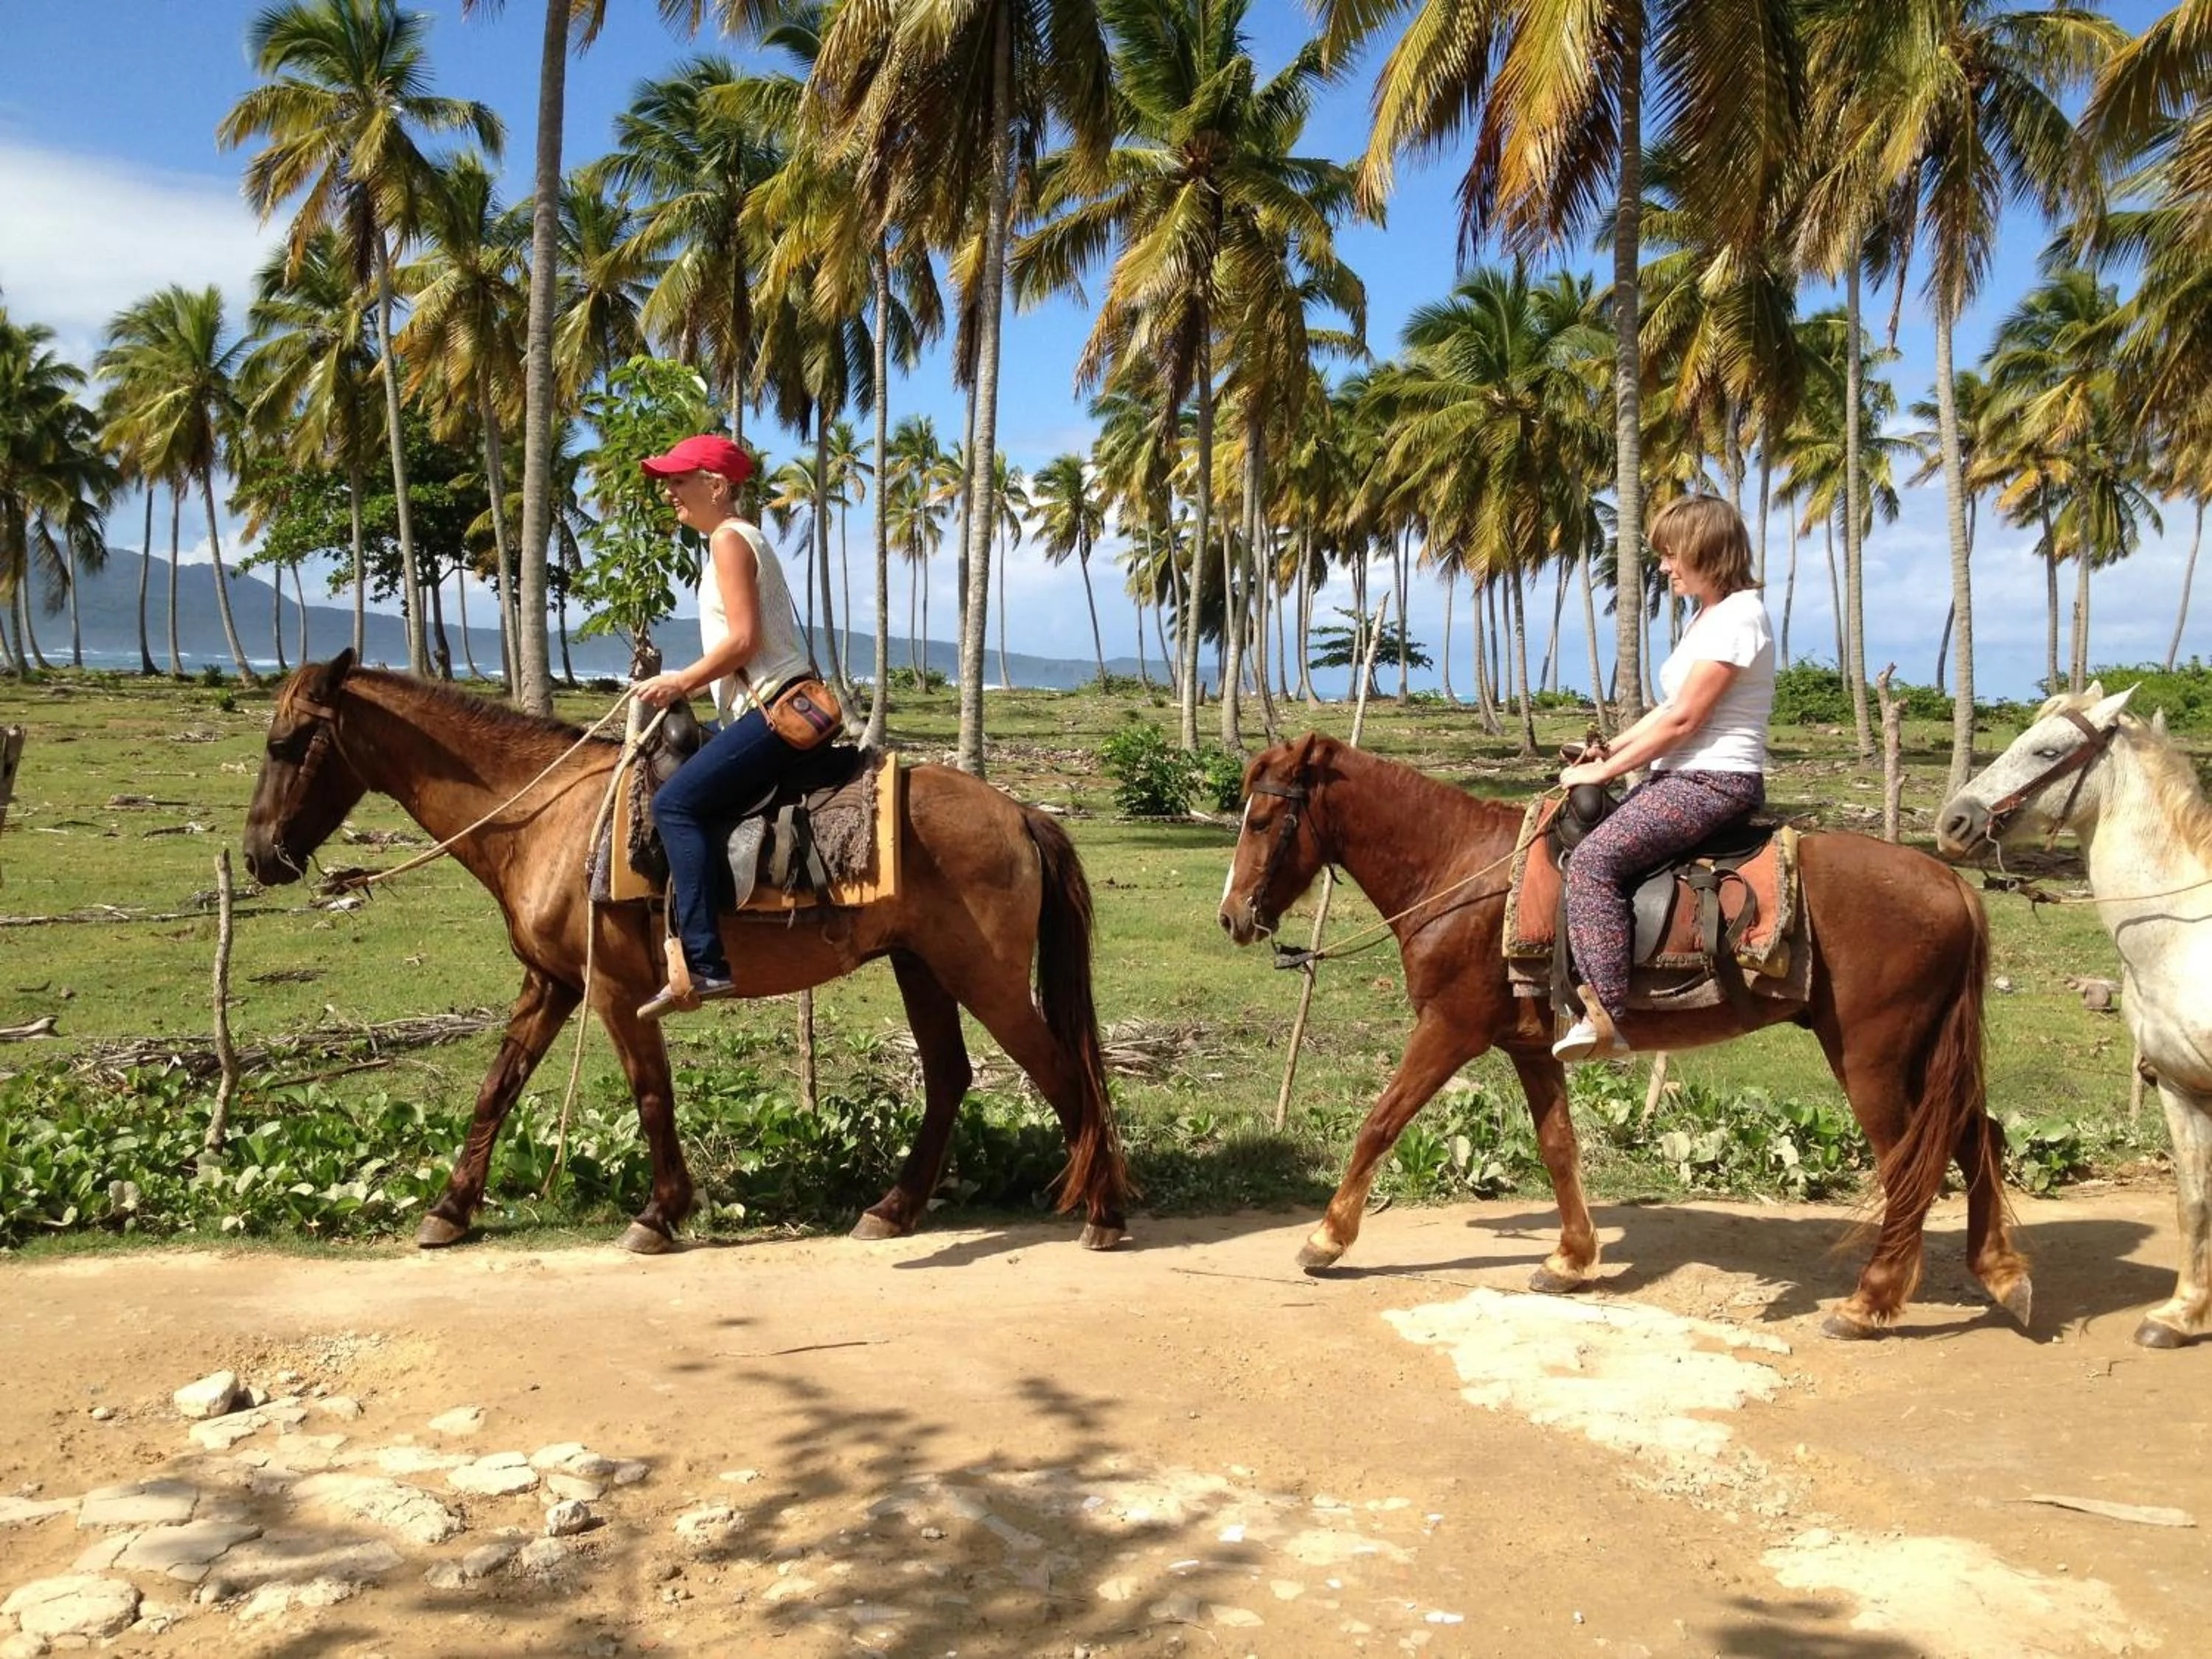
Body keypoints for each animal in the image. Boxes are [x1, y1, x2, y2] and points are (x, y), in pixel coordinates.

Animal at [240, 649, 1130, 1255]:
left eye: (289, 743)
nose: (257, 858)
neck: (545, 819)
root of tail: (1020, 813)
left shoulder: (616, 990)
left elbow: (651, 1095)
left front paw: (659, 1213)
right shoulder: (551, 982)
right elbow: (498, 1088)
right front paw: (451, 1210)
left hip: (985, 977)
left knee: (1062, 1073)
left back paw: (1105, 1213)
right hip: (923, 967)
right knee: (949, 1077)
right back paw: (893, 1209)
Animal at [1218, 732, 2027, 1340]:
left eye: (1260, 822)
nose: (1231, 917)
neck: (1465, 872)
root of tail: (1953, 888)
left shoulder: (1451, 1029)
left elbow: (1380, 1124)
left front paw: (1327, 1238)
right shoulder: (1528, 1045)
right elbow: (1558, 1147)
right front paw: (1571, 1259)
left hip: (1872, 1055)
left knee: (1910, 1162)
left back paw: (1871, 1301)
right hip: (1924, 1052)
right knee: (1975, 1136)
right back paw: (2002, 1275)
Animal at [1938, 683, 2212, 1349]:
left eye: (2048, 750)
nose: (1954, 822)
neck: (2186, 939)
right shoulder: (2179, 1088)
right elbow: (2194, 1202)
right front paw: (2179, 1316)